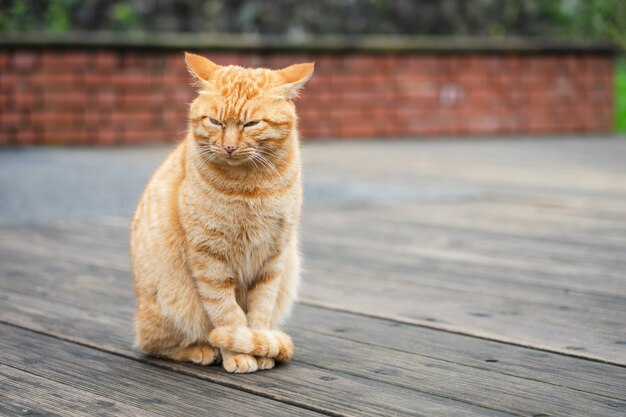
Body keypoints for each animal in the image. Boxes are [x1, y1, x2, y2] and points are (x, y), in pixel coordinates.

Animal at [130, 52, 312, 374]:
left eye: (251, 124)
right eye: (215, 121)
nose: (228, 147)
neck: (250, 187)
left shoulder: (274, 257)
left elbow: (260, 311)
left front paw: (259, 346)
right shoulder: (210, 257)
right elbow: (227, 313)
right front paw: (238, 352)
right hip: (168, 306)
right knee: (153, 345)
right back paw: (202, 349)